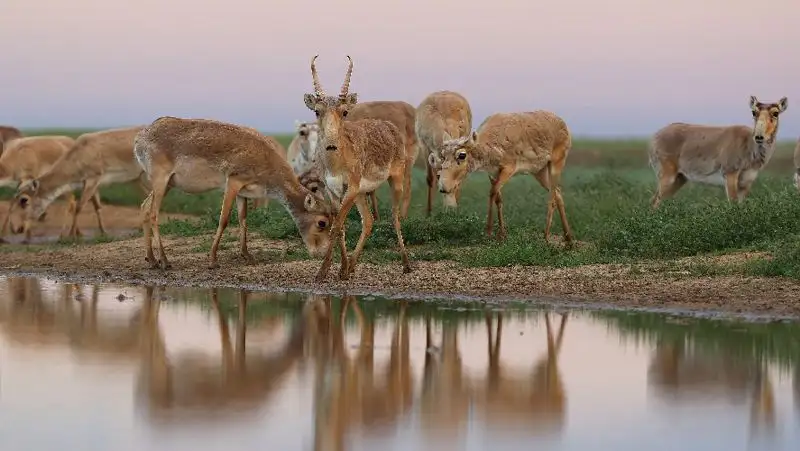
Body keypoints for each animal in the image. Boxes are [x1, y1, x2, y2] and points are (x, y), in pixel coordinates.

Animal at [15, 126, 148, 240]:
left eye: (24, 200)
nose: (19, 228)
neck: (78, 157)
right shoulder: (91, 184)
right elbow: (97, 206)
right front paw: (103, 232)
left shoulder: (93, 178)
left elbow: (79, 207)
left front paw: (71, 235)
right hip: (138, 178)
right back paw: (141, 228)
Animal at [133, 117, 332, 272]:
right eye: (322, 222)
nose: (321, 253)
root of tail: (139, 139)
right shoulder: (233, 182)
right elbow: (224, 219)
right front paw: (213, 260)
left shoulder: (243, 192)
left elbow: (243, 219)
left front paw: (247, 255)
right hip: (161, 180)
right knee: (154, 213)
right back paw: (164, 261)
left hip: (168, 183)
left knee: (144, 207)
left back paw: (151, 260)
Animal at [302, 55, 412, 282]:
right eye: (317, 111)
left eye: (344, 112)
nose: (331, 145)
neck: (336, 163)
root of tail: (390, 127)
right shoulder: (332, 190)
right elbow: (340, 226)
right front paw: (340, 268)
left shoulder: (350, 188)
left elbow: (336, 226)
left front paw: (323, 271)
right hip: (362, 193)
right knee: (368, 221)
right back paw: (351, 266)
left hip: (395, 180)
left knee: (395, 217)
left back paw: (406, 265)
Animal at [432, 111, 576, 245]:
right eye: (443, 155)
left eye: (462, 155)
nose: (443, 187)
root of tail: (563, 124)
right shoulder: (493, 173)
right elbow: (498, 198)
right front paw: (502, 235)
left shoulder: (509, 168)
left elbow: (492, 192)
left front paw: (489, 231)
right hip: (539, 171)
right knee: (558, 193)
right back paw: (568, 238)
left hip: (557, 162)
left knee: (552, 197)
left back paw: (546, 236)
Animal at [648, 97, 788, 208]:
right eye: (754, 112)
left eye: (776, 113)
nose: (759, 137)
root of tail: (654, 137)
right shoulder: (730, 173)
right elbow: (733, 204)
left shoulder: (746, 182)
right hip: (667, 175)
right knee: (655, 201)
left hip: (680, 178)